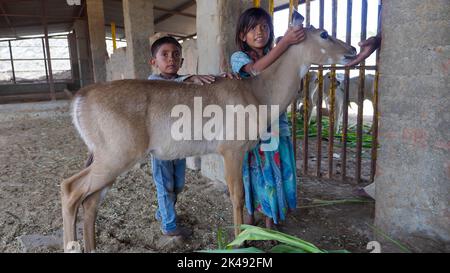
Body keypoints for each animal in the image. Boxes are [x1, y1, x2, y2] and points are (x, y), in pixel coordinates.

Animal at [60, 18, 356, 253]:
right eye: (324, 34)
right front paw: (240, 241)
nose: (352, 50)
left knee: (90, 201)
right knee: (70, 188)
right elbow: (237, 195)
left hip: (107, 157)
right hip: (117, 153)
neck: (260, 93)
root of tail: (79, 99)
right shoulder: (231, 148)